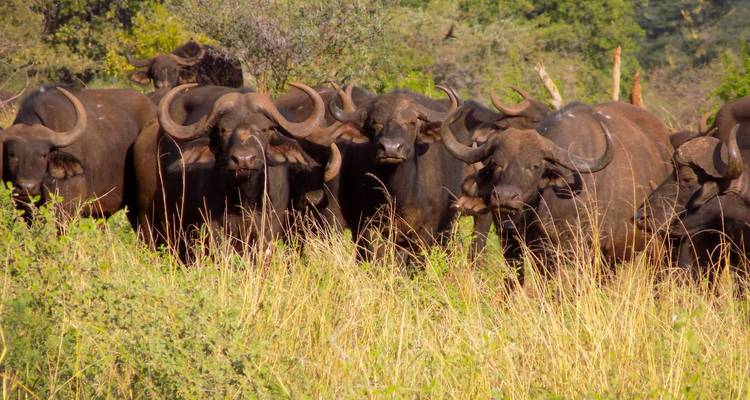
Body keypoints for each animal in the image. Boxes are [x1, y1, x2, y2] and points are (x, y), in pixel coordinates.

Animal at [442, 99, 674, 278]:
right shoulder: (527, 248)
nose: (505, 196)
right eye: (497, 163)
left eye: (535, 165)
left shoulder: (580, 249)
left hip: (657, 248)